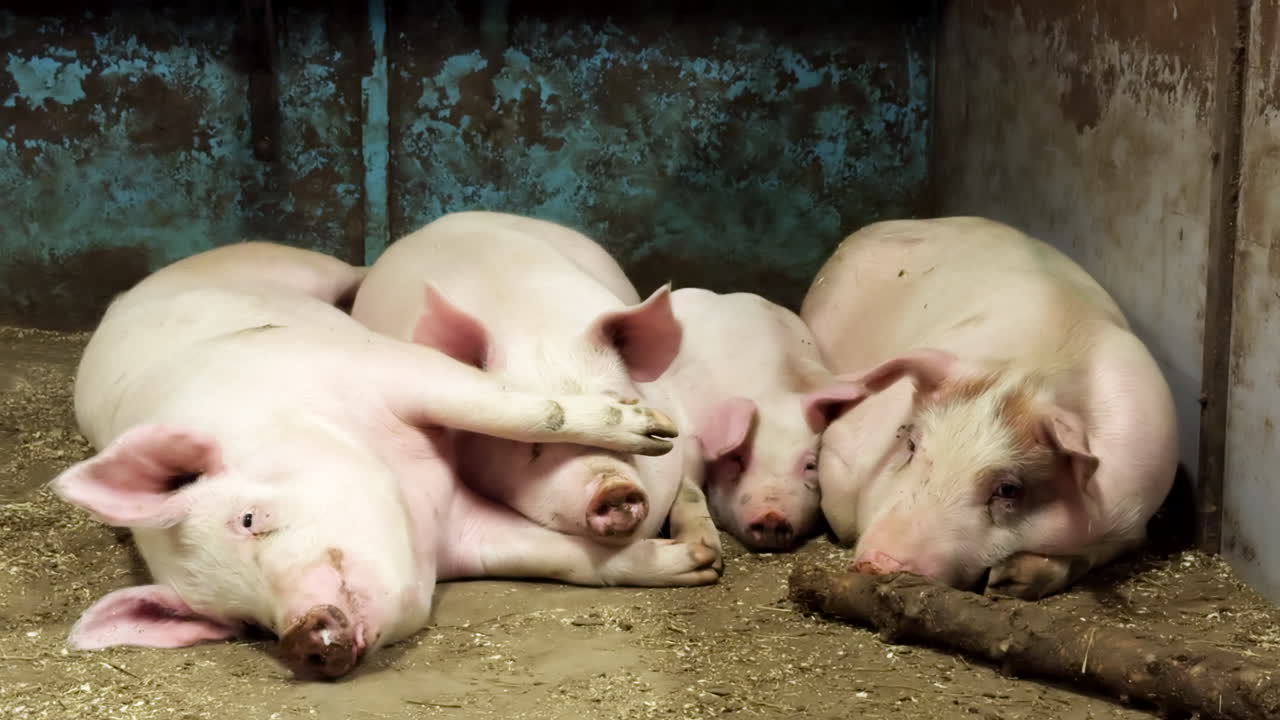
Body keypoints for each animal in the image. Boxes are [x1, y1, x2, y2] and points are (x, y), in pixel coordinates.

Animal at [351, 211, 723, 564]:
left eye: (625, 402)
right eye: (528, 444)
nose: (614, 487)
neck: (536, 324)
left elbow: (690, 487)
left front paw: (709, 554)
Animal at [659, 287, 850, 552]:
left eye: (811, 466)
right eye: (738, 459)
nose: (772, 517)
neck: (772, 394)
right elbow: (688, 486)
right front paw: (705, 550)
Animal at [800, 217, 1178, 599]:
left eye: (1007, 489)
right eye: (910, 445)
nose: (880, 562)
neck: (1030, 372)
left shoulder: (1130, 518)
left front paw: (1004, 581)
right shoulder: (846, 446)